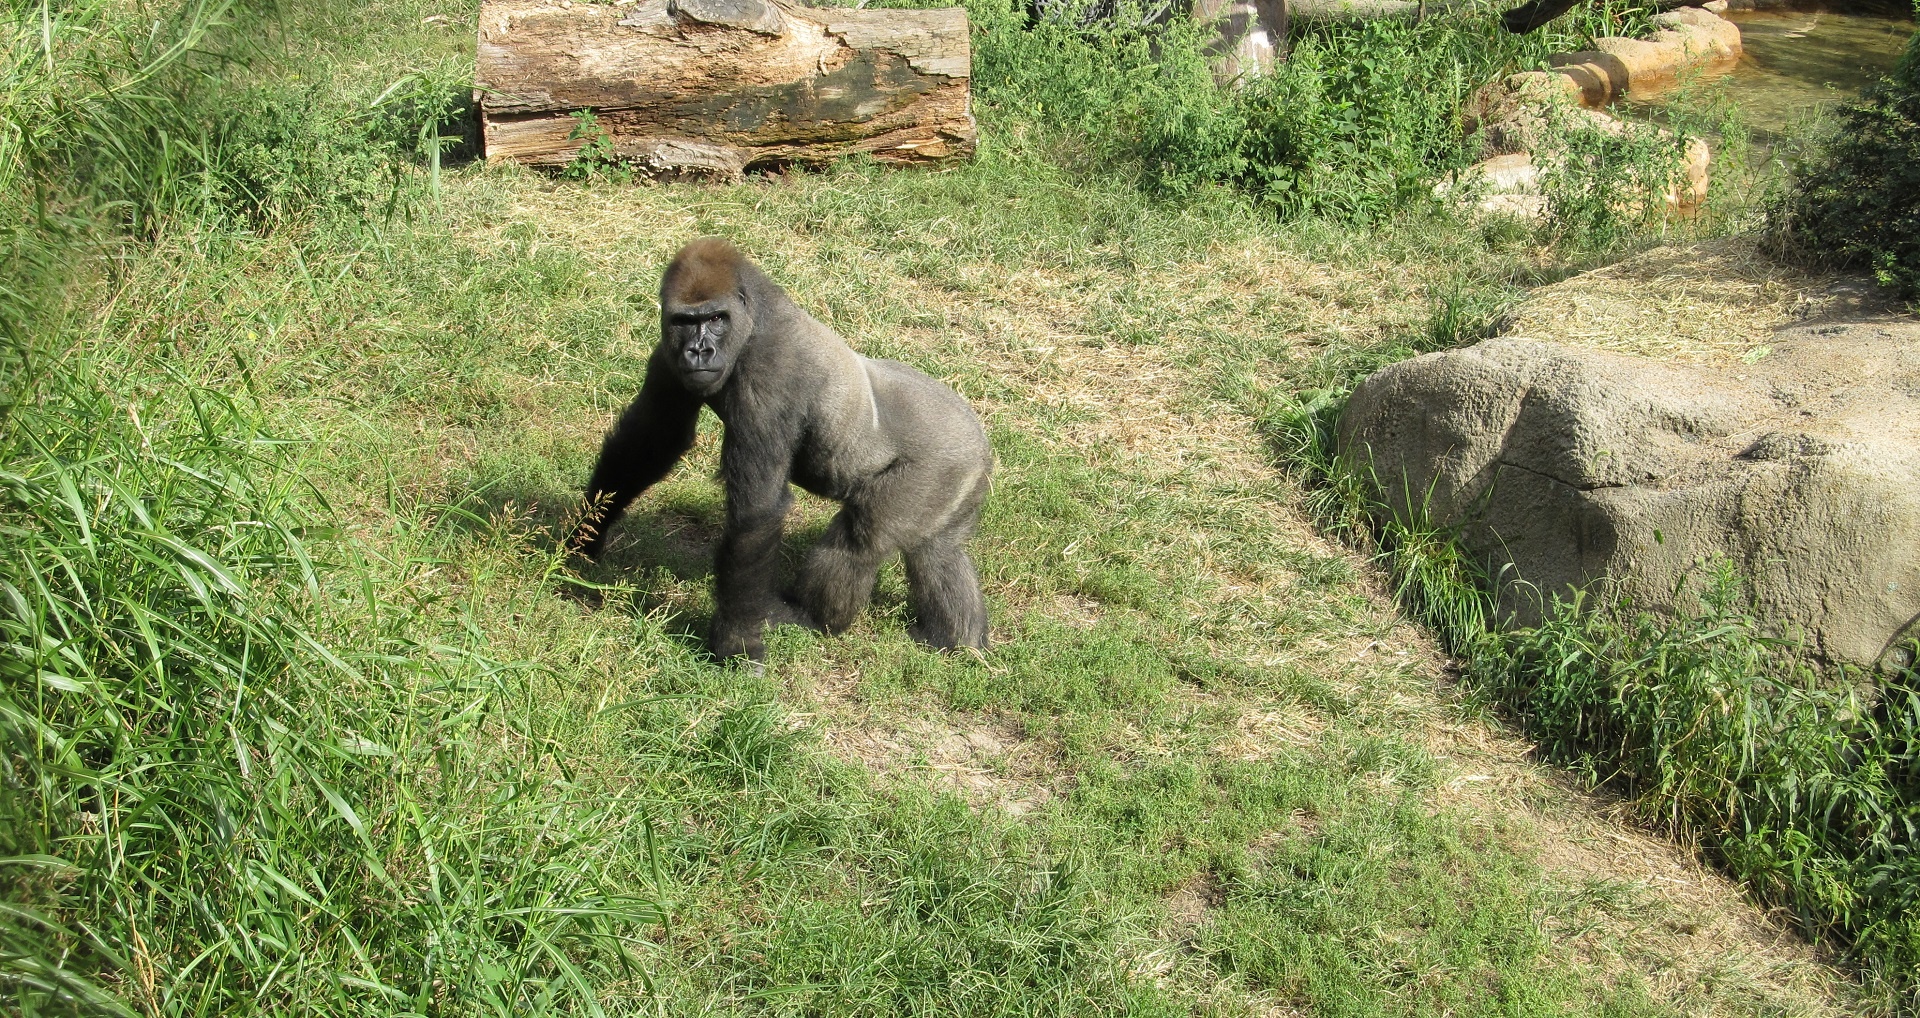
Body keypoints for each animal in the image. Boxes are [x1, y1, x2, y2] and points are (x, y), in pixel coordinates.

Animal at [568, 240, 990, 664]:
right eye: (685, 321)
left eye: (716, 318)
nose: (699, 350)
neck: (756, 317)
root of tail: (981, 440)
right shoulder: (669, 357)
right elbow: (650, 441)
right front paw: (585, 537)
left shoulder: (769, 376)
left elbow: (755, 514)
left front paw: (736, 641)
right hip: (961, 474)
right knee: (938, 551)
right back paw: (957, 639)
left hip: (937, 465)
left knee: (861, 541)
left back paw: (811, 617)